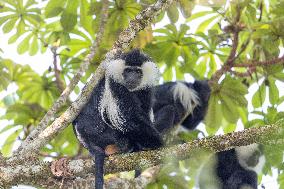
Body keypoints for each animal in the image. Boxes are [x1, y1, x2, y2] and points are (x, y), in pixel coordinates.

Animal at [72, 49, 163, 189]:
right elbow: (128, 118)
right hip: (103, 135)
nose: (132, 77)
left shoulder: (145, 91)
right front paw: (159, 142)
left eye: (137, 72)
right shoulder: (116, 85)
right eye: (128, 71)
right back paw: (126, 145)